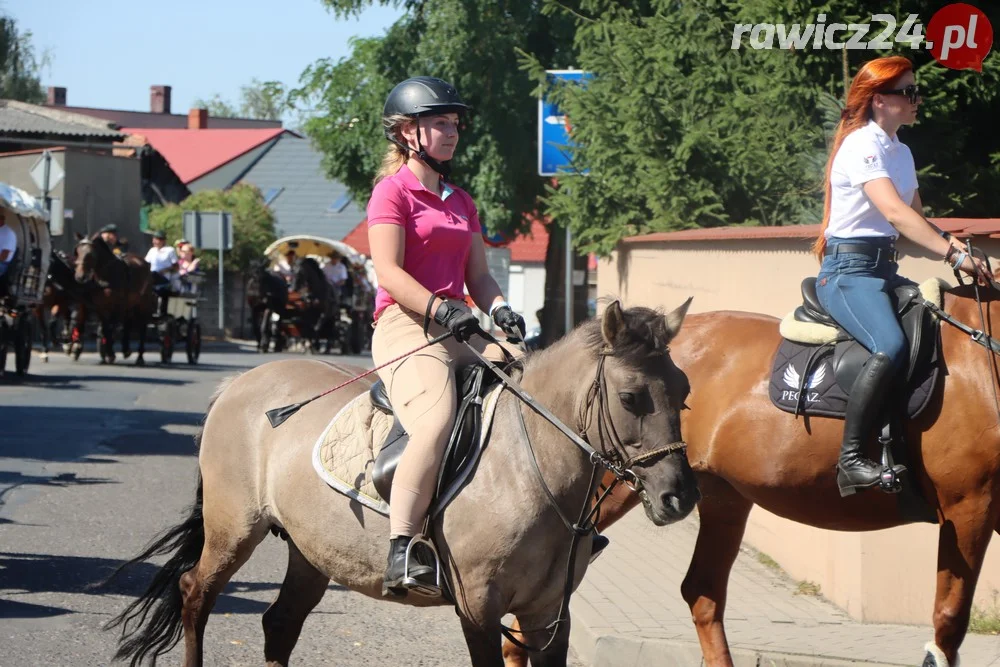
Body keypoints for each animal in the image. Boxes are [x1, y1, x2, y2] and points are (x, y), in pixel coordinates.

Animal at [73, 235, 155, 366]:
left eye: (90, 254)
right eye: (77, 252)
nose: (80, 277)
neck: (106, 275)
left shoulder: (117, 306)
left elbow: (111, 327)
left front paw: (110, 353)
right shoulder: (101, 307)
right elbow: (106, 328)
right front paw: (108, 353)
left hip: (143, 303)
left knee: (142, 326)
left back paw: (140, 357)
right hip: (129, 303)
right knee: (128, 322)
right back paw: (126, 349)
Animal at [109, 302, 700, 667]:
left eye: (684, 391)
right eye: (631, 397)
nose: (679, 498)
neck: (528, 468)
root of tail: (240, 382)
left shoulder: (549, 613)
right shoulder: (479, 610)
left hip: (311, 549)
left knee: (280, 623)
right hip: (234, 529)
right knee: (195, 593)